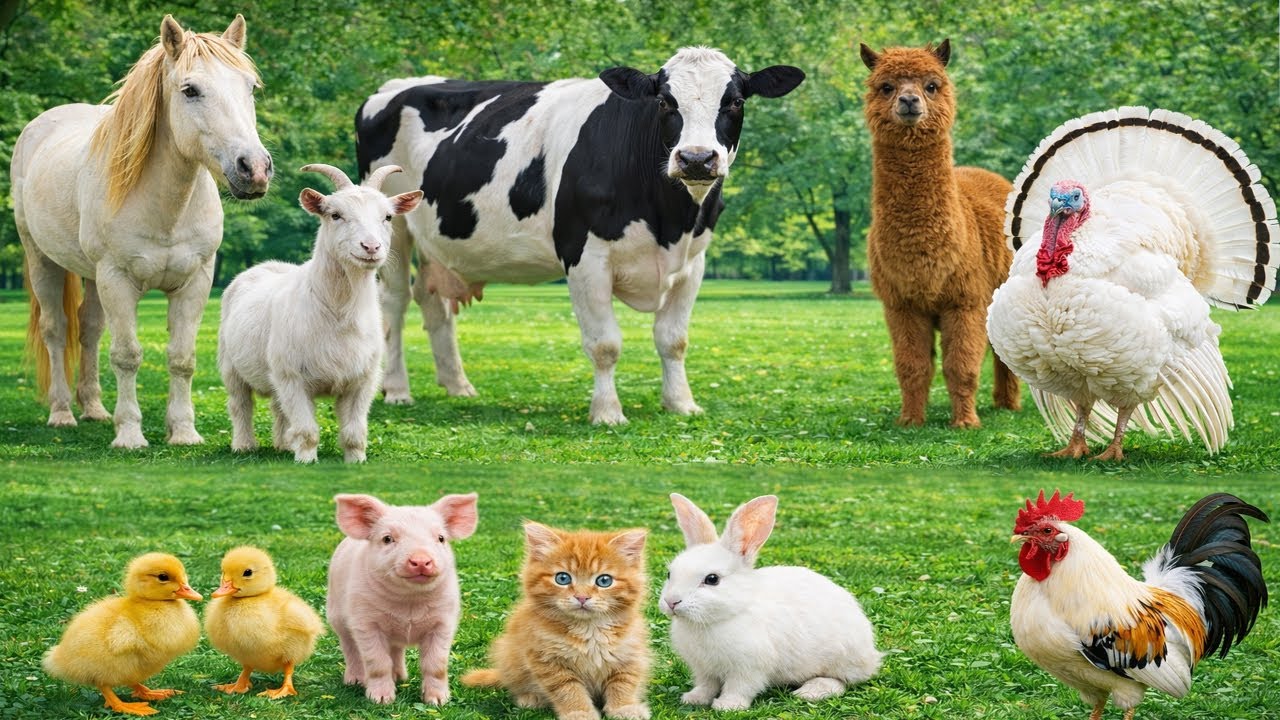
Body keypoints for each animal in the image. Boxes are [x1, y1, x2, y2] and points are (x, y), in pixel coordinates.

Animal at [326, 492, 479, 705]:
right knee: (351, 648)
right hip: (336, 615)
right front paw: (382, 700)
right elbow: (377, 663)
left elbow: (436, 664)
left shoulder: (444, 623)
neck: (408, 604)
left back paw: (400, 677)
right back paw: (355, 681)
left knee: (396, 650)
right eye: (387, 538)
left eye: (441, 538)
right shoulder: (365, 623)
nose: (421, 560)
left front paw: (438, 701)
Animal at [356, 47, 805, 424]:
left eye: (736, 101)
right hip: (393, 222)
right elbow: (605, 344)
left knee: (433, 301)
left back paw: (458, 385)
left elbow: (673, 339)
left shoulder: (693, 262)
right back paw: (397, 390)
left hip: (436, 240)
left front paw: (681, 404)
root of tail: (394, 86)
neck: (668, 219)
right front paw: (607, 413)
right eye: (664, 101)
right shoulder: (584, 258)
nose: (696, 158)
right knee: (394, 302)